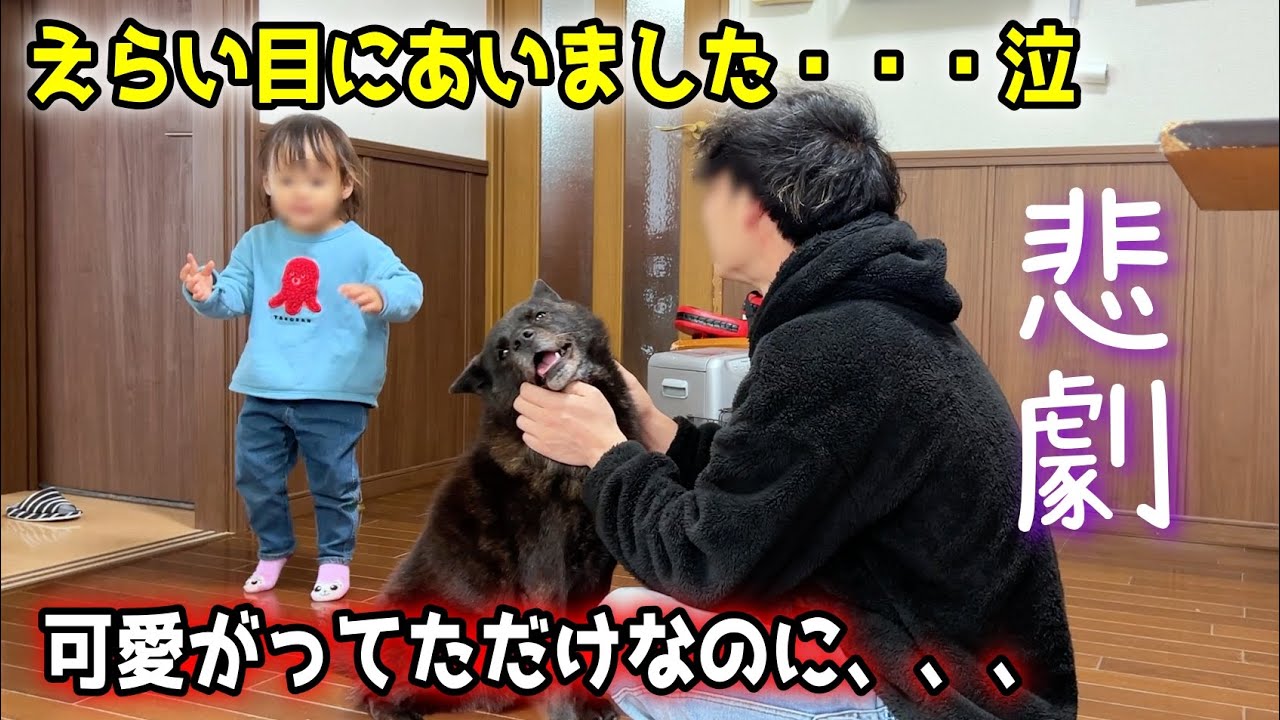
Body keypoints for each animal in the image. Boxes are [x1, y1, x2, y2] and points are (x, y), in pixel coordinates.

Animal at [358, 279, 639, 720]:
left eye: (537, 316)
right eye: (503, 352)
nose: (523, 339)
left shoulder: (595, 566)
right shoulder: (548, 570)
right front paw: (570, 710)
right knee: (375, 693)